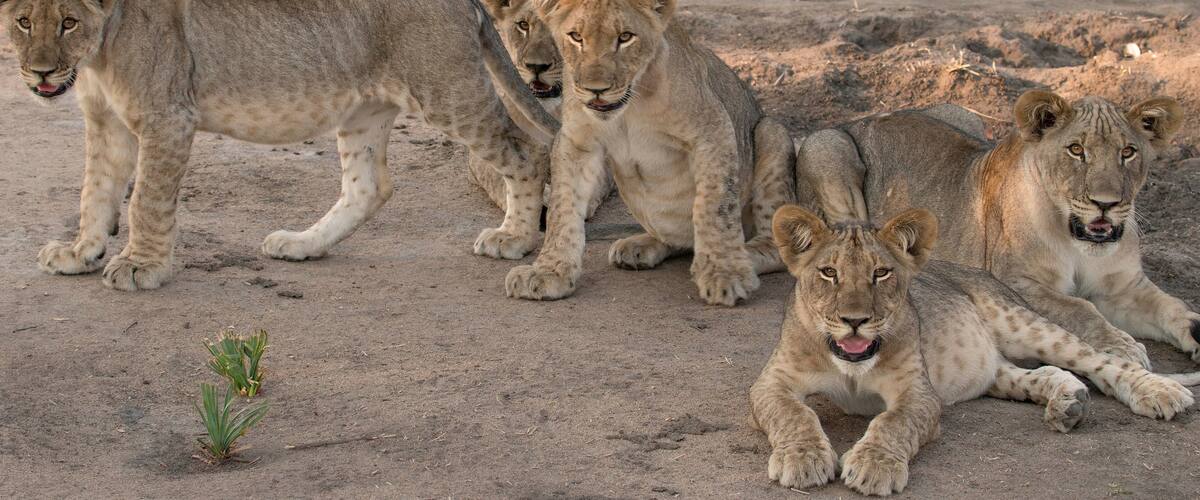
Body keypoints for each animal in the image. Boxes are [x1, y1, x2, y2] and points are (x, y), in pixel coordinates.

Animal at [2, 0, 557, 291]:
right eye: (24, 20)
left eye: (68, 21)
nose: (41, 73)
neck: (97, 54)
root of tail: (468, 2)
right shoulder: (105, 122)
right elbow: (93, 193)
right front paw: (80, 253)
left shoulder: (168, 118)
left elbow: (145, 200)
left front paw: (141, 266)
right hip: (365, 110)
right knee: (369, 188)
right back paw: (302, 244)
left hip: (446, 90)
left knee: (527, 151)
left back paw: (514, 238)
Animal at [503, 0, 797, 306]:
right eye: (576, 37)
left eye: (625, 37)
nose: (596, 90)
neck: (630, 106)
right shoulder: (576, 142)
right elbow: (561, 210)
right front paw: (548, 272)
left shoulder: (713, 129)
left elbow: (715, 205)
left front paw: (724, 274)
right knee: (678, 241)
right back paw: (638, 246)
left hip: (772, 133)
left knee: (775, 247)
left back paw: (745, 257)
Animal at [751, 206, 1195, 496]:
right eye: (829, 272)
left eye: (882, 273)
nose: (855, 320)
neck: (851, 365)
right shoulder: (771, 382)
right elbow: (794, 414)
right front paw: (803, 459)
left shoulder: (919, 392)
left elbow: (893, 422)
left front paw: (873, 467)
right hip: (993, 370)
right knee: (1043, 373)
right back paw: (1069, 405)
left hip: (1022, 323)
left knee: (1101, 359)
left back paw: (1159, 392)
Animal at [797, 91, 1197, 367]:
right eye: (1076, 150)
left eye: (1128, 152)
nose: (1107, 203)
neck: (1079, 242)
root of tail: (858, 119)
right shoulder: (1016, 283)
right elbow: (1079, 307)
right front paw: (1123, 346)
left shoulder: (1125, 287)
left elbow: (1172, 306)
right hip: (827, 146)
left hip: (959, 113)